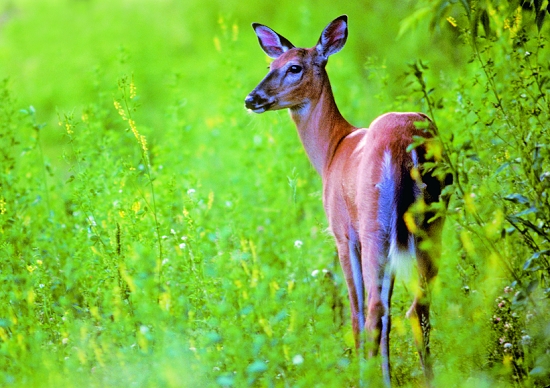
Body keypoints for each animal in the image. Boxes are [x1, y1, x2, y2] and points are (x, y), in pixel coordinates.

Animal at [246, 15, 452, 384]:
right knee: (416, 305)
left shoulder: (343, 234)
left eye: (295, 67)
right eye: (271, 65)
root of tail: (409, 145)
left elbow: (356, 314)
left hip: (374, 224)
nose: (251, 98)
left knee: (372, 312)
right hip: (429, 222)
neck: (332, 150)